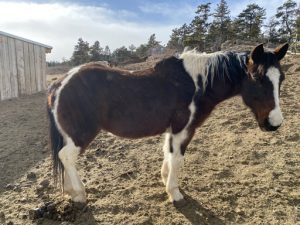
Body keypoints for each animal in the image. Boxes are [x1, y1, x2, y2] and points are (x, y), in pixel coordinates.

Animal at [47, 43, 288, 204]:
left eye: (281, 79)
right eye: (257, 78)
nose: (274, 123)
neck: (198, 83)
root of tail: (60, 83)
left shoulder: (172, 130)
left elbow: (168, 153)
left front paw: (165, 180)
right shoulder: (184, 129)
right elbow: (177, 159)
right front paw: (175, 192)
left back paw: (69, 191)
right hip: (80, 135)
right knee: (66, 156)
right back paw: (80, 194)